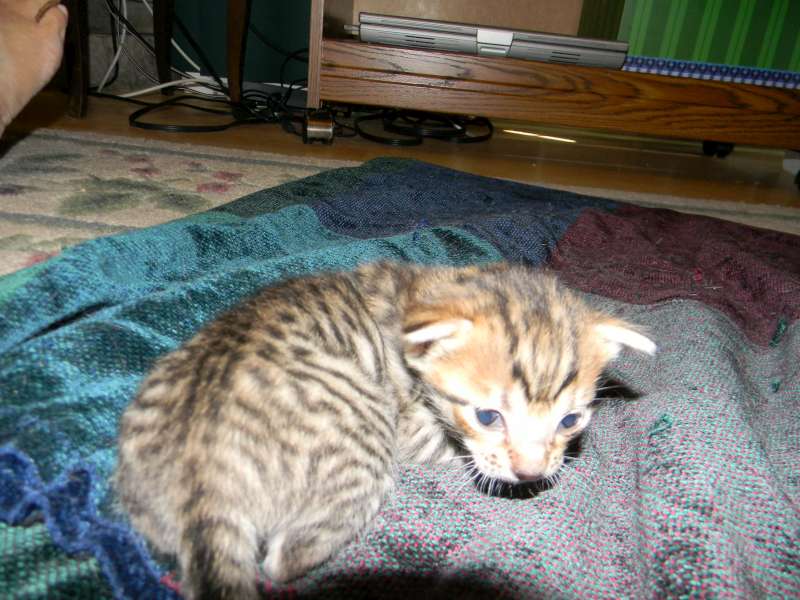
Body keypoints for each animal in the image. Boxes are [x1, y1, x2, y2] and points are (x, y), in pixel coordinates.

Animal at [114, 261, 655, 600]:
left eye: (570, 420)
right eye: (487, 416)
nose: (529, 473)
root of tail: (203, 475)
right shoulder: (411, 427)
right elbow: (461, 452)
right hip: (366, 434)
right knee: (284, 558)